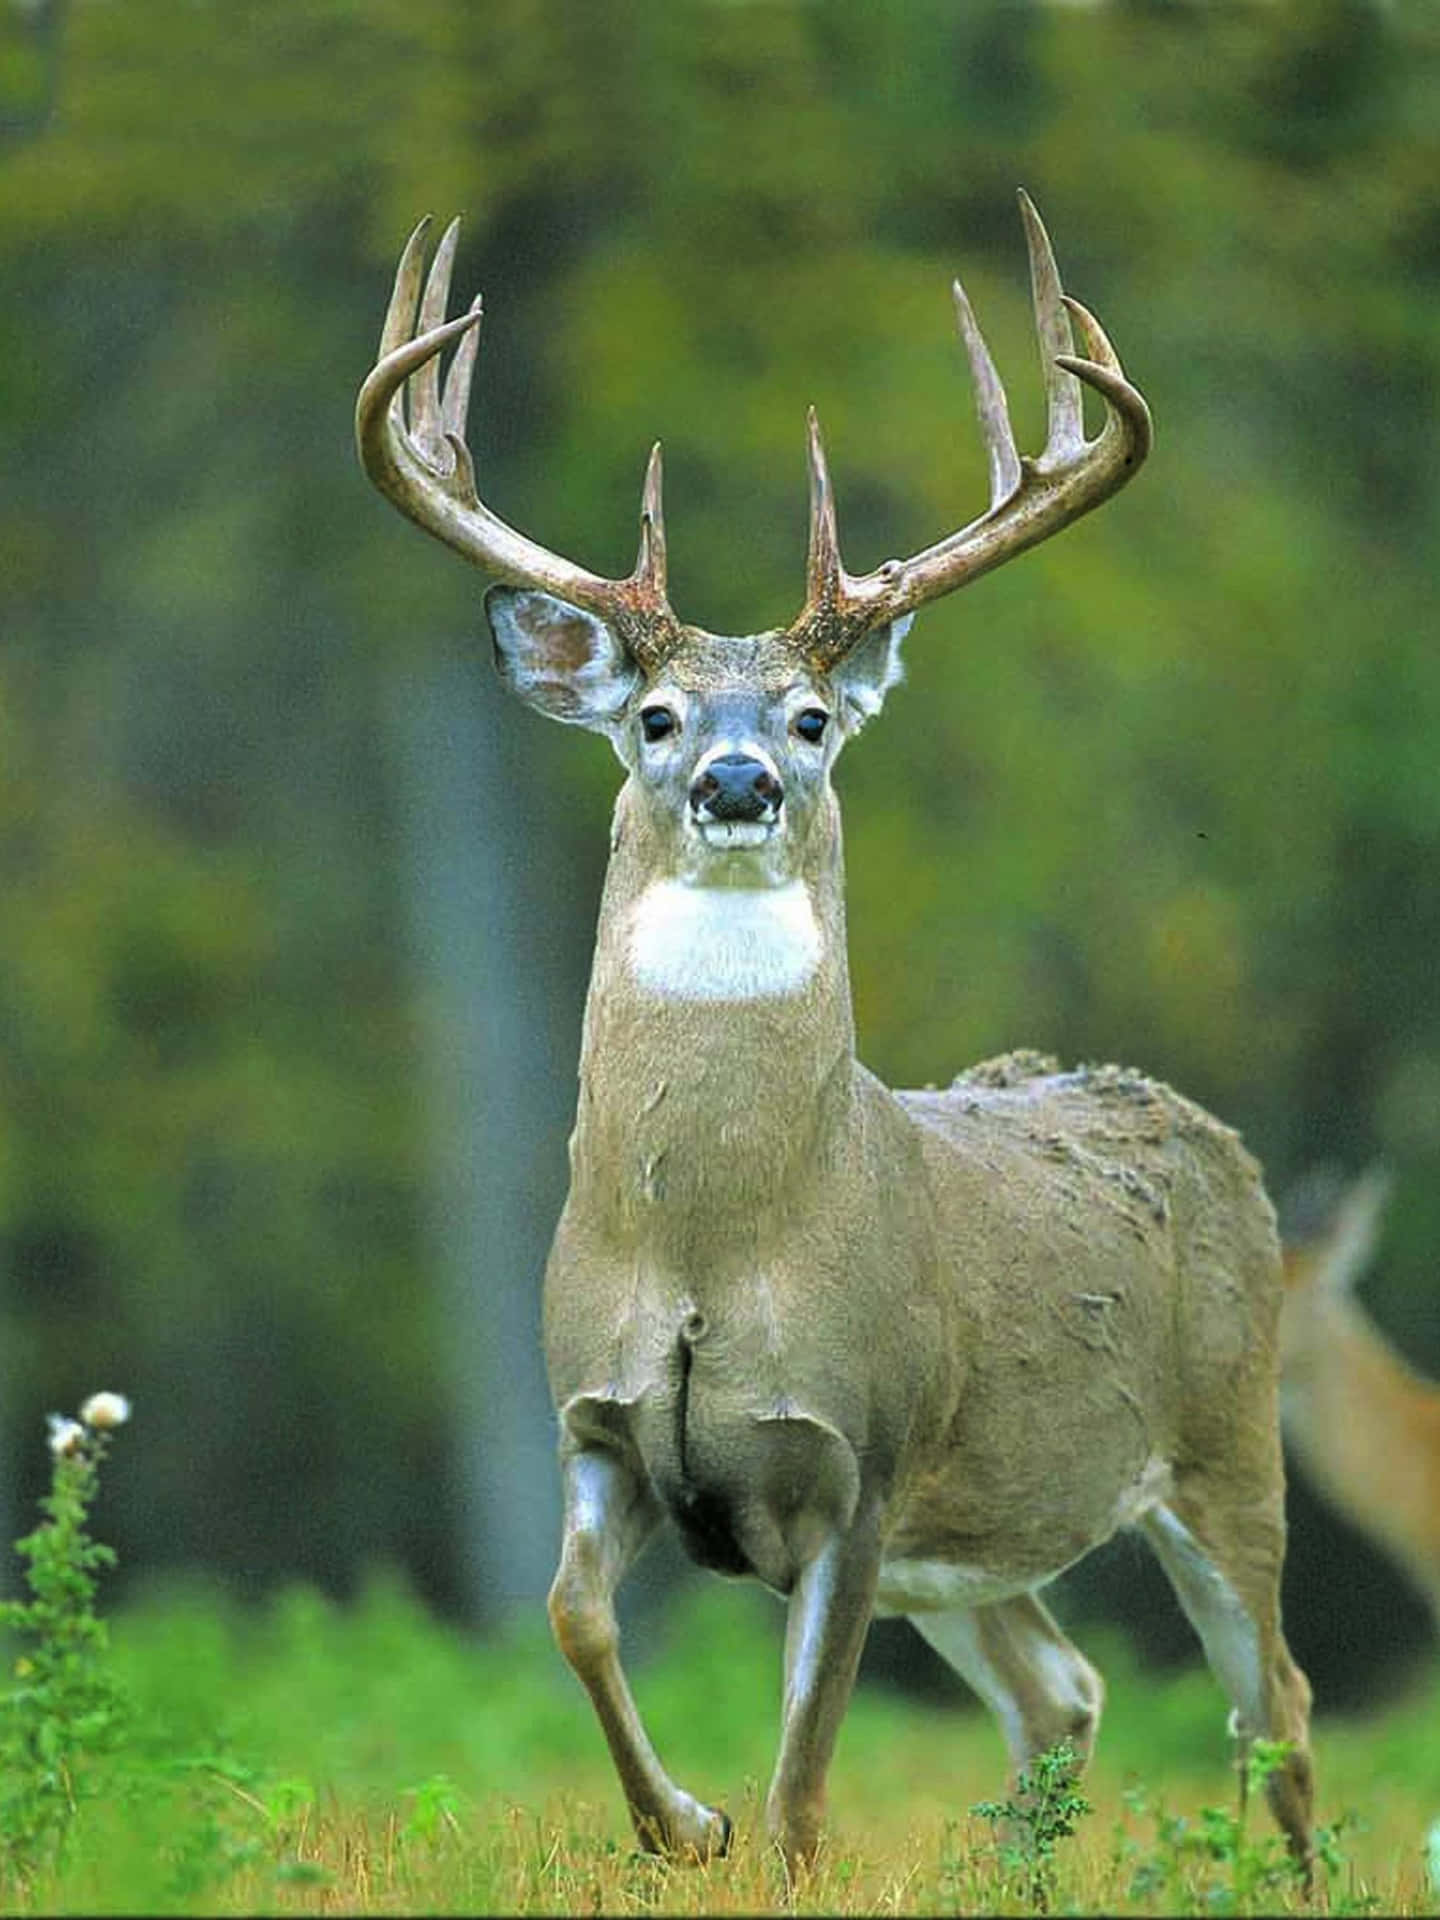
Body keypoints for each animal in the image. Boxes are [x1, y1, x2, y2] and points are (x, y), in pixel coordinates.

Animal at [355, 191, 1313, 1873]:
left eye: (810, 721)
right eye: (655, 717)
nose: (739, 780)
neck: (711, 1245)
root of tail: (1204, 1132)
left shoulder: (862, 1457)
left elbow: (809, 1779)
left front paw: (747, 1831)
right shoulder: (591, 1421)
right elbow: (570, 1617)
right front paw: (683, 1821)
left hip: (1224, 1440)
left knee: (1280, 1711)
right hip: (979, 1543)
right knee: (1065, 1691)